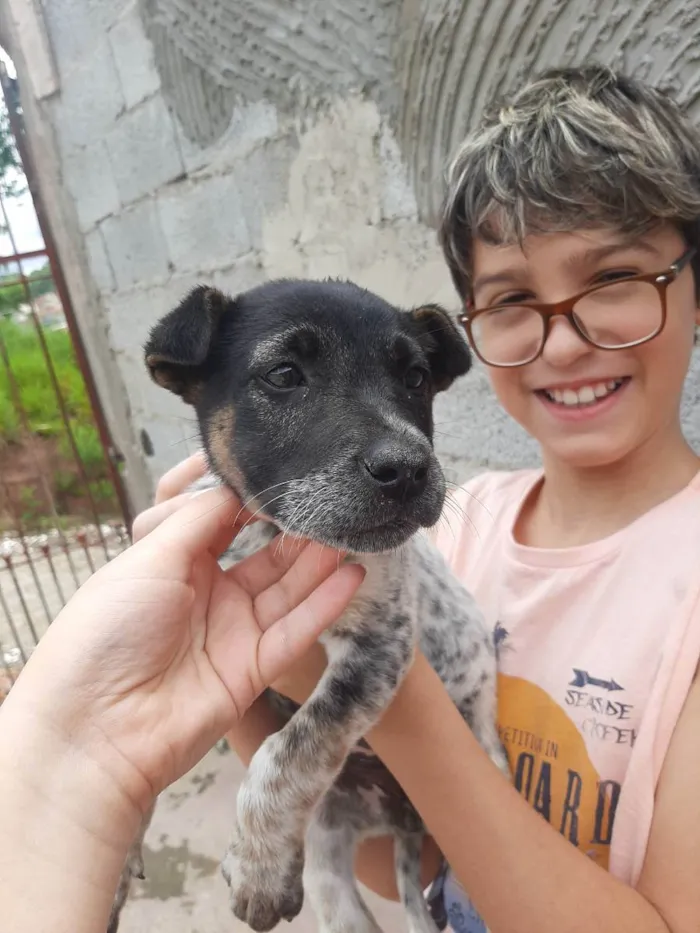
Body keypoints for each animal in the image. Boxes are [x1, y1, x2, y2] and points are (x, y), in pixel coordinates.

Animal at [109, 278, 506, 932]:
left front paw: (259, 866)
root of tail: (400, 821)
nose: (408, 471)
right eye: (284, 374)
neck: (281, 538)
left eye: (416, 378)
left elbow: (293, 747)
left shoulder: (381, 643)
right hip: (331, 873)